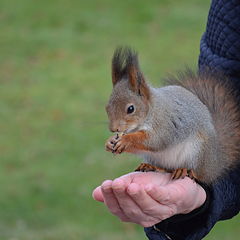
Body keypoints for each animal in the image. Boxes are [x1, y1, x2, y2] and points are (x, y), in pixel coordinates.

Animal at [105, 47, 240, 184]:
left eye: (131, 109)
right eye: (107, 107)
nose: (114, 129)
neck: (151, 111)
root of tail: (215, 164)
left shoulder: (165, 123)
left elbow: (155, 140)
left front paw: (126, 139)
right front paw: (110, 142)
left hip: (199, 152)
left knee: (200, 175)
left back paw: (185, 171)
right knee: (167, 169)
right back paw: (151, 166)